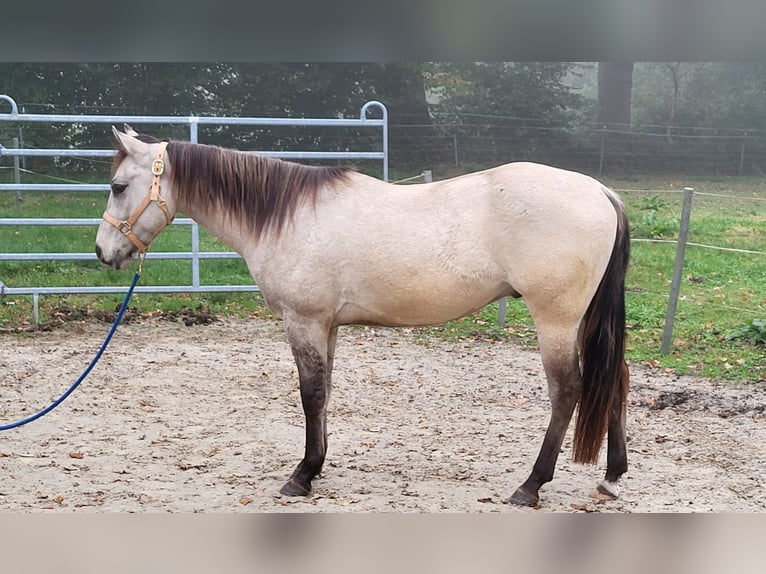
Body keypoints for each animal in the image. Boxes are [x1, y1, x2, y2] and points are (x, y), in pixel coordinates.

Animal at [96, 127, 632, 508]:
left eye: (119, 186)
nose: (103, 253)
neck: (287, 215)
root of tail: (599, 191)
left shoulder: (304, 322)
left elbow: (310, 395)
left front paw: (301, 476)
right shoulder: (327, 327)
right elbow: (325, 394)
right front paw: (317, 466)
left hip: (555, 321)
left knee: (568, 391)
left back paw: (531, 485)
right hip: (585, 321)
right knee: (615, 381)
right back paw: (611, 478)